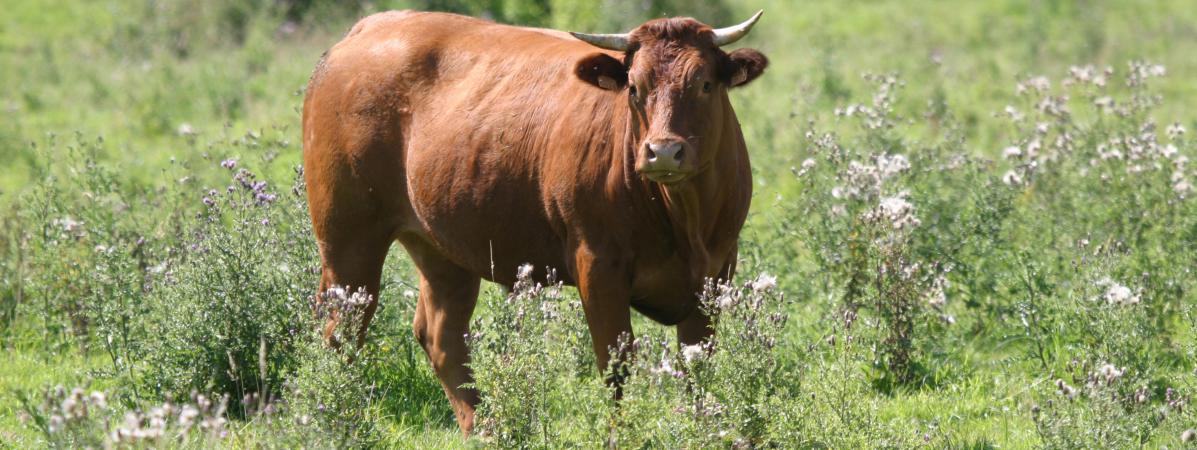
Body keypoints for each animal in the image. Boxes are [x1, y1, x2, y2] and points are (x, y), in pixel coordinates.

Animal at [299, 9, 766, 433]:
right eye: (634, 87)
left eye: (705, 84)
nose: (663, 152)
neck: (682, 218)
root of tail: (368, 27)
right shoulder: (598, 266)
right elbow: (615, 365)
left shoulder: (716, 273)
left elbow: (696, 370)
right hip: (348, 241)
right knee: (341, 332)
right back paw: (339, 420)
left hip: (442, 250)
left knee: (442, 337)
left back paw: (484, 428)